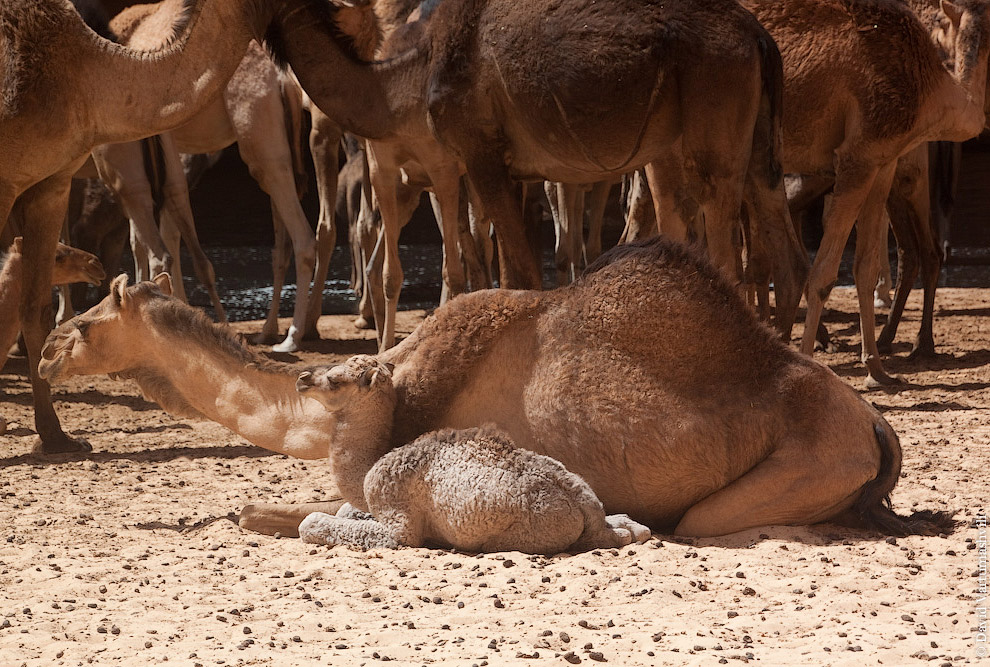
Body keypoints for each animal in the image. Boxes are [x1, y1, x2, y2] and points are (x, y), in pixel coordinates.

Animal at [268, 0, 808, 336]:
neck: (411, 71)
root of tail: (759, 36)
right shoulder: (513, 171)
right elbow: (511, 272)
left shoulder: (481, 154)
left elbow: (524, 275)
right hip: (748, 133)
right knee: (775, 232)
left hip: (714, 100)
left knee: (723, 235)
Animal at [290, 358, 656, 556]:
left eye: (335, 379)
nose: (302, 379)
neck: (371, 467)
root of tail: (582, 507)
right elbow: (344, 509)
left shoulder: (397, 520)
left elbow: (313, 521)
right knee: (623, 527)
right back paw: (631, 528)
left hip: (524, 534)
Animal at [744, 0, 990, 386]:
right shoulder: (857, 156)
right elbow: (823, 272)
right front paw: (811, 360)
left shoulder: (883, 162)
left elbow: (865, 266)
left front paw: (876, 370)